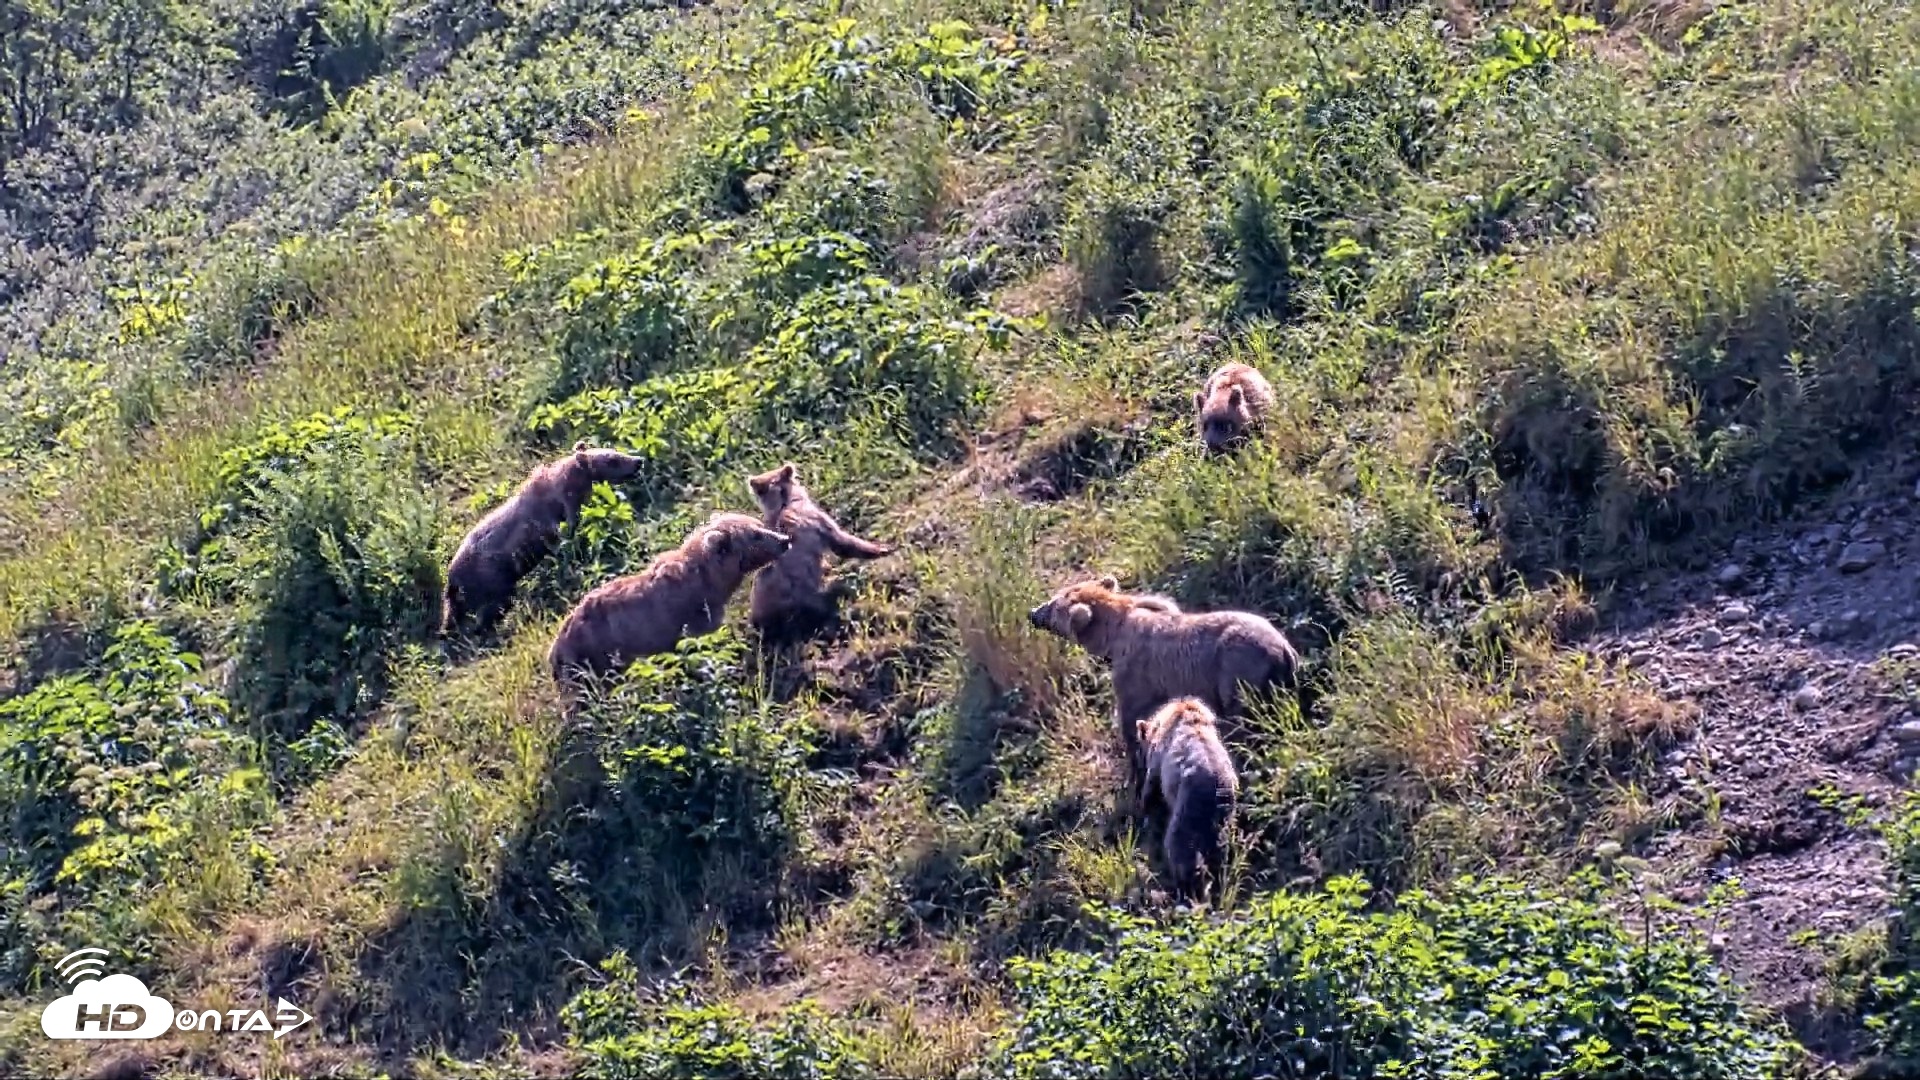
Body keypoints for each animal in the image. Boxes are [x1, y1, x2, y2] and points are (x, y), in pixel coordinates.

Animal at [442, 441, 645, 640]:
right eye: (612, 460)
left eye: (615, 450)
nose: (638, 460)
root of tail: (452, 576)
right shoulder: (552, 520)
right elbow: (566, 539)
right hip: (491, 577)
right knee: (493, 607)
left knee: (455, 613)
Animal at [547, 511, 791, 688]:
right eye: (755, 534)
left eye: (759, 524)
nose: (784, 540)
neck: (711, 581)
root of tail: (554, 649)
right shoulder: (687, 616)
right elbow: (697, 648)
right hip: (591, 656)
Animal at [1026, 574, 1299, 773]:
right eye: (1054, 597)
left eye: (1053, 606)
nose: (1032, 613)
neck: (1113, 635)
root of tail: (1284, 649)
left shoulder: (1135, 672)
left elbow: (1130, 714)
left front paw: (1134, 756)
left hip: (1236, 666)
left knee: (1242, 713)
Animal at [1137, 696, 1239, 904]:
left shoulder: (1159, 758)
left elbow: (1151, 785)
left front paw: (1142, 809)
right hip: (1222, 820)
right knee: (1219, 853)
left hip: (1187, 814)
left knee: (1179, 847)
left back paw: (1184, 887)